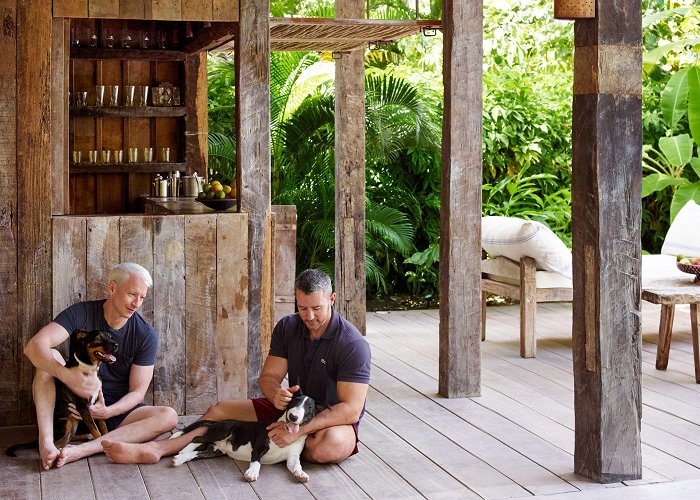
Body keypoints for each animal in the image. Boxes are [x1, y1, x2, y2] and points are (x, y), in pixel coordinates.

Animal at [172, 390, 318, 480]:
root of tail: (218, 422)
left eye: (309, 407)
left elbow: (297, 465)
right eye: (293, 403)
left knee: (197, 453)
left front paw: (301, 474)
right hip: (222, 431)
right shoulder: (259, 447)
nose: (293, 417)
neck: (285, 431)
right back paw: (183, 451)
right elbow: (256, 462)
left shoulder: (293, 457)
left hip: (215, 451)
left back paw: (180, 459)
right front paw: (252, 473)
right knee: (197, 438)